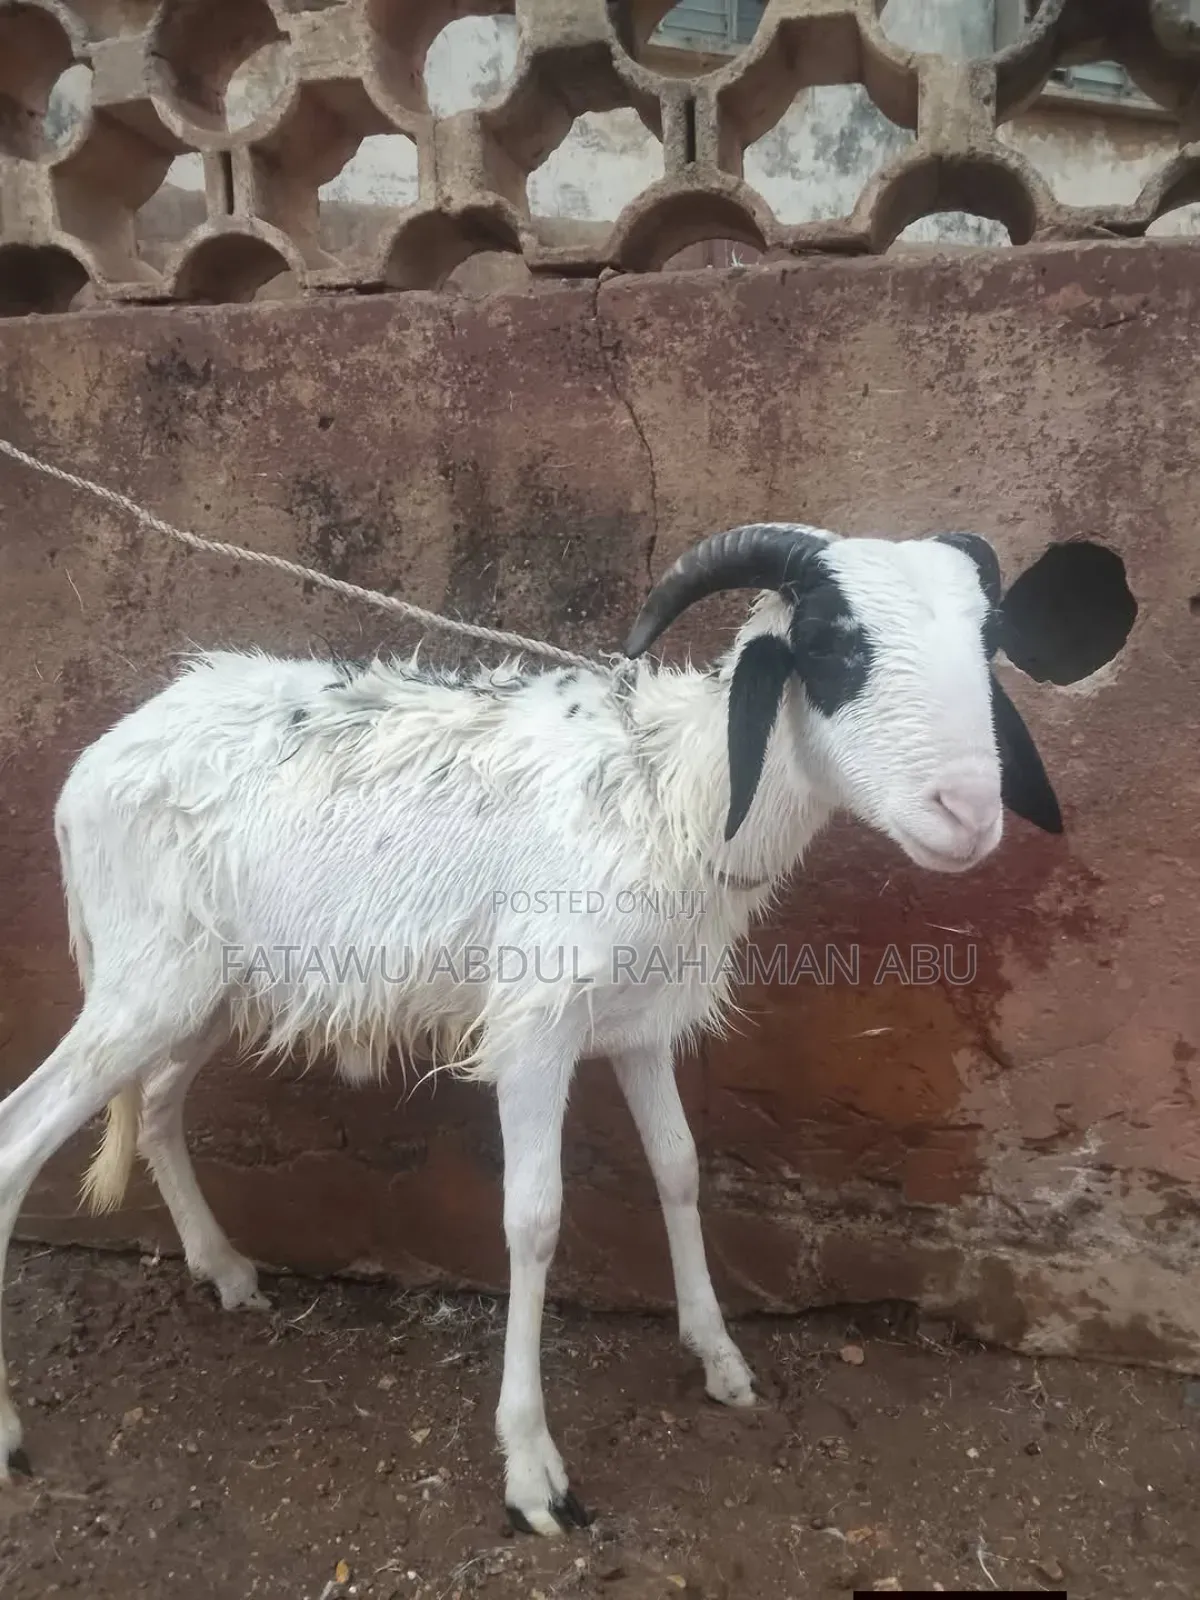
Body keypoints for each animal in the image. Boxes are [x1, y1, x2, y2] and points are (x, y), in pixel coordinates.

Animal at [0, 521, 1063, 1533]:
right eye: (836, 643)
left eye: (987, 641)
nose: (969, 813)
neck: (670, 795)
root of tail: (91, 766)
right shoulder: (533, 1026)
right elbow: (535, 1218)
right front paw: (533, 1473)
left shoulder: (640, 1021)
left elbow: (679, 1168)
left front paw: (719, 1358)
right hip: (149, 975)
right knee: (21, 1140)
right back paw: (12, 1428)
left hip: (204, 984)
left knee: (159, 1103)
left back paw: (224, 1271)